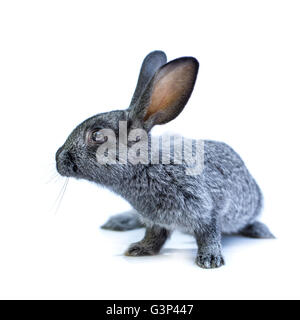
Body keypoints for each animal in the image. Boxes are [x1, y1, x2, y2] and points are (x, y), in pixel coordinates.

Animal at [55, 50, 274, 268]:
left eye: (97, 135)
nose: (58, 159)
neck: (147, 166)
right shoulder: (156, 221)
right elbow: (154, 236)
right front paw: (139, 249)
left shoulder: (206, 209)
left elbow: (209, 234)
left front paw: (210, 259)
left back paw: (261, 231)